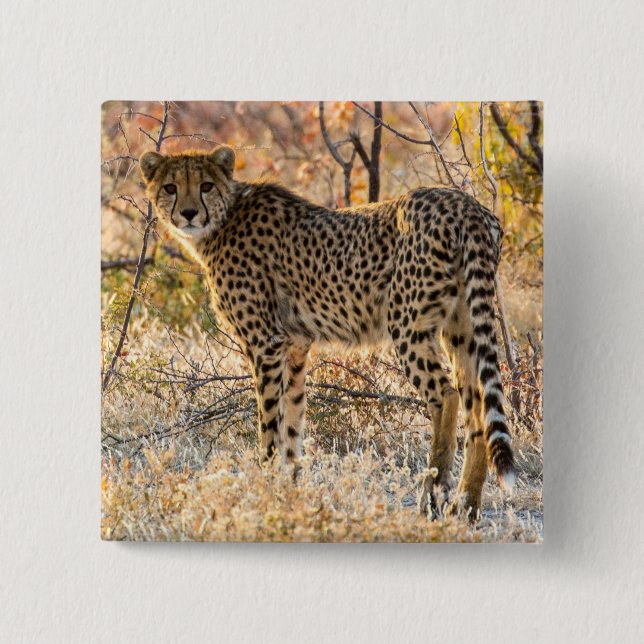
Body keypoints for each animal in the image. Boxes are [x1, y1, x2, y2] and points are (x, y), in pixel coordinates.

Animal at [139, 145, 516, 519]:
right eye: (171, 187)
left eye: (205, 185)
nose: (189, 213)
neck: (224, 218)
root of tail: (463, 203)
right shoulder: (294, 345)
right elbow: (292, 421)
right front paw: (290, 491)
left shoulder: (265, 343)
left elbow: (269, 425)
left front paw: (264, 487)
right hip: (461, 325)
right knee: (477, 404)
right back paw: (467, 505)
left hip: (407, 324)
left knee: (446, 394)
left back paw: (432, 496)